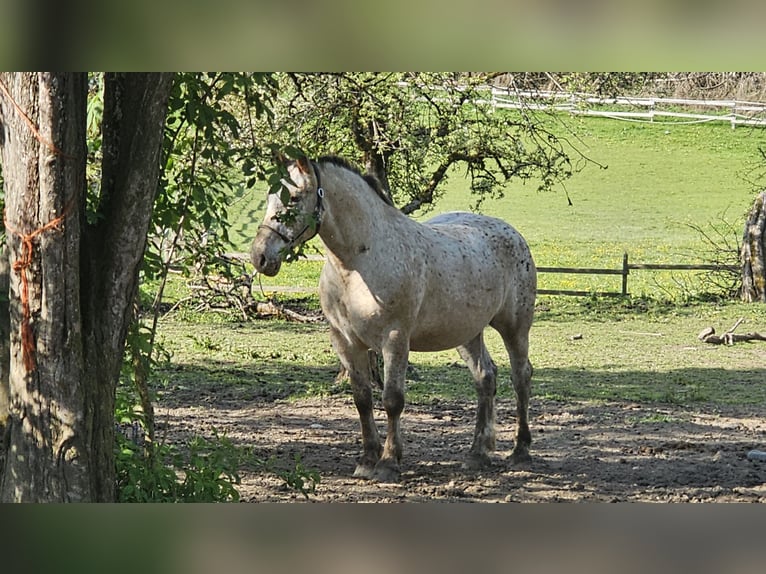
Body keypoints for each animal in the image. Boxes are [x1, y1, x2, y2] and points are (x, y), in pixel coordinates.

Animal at [251, 155, 537, 482]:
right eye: (269, 197)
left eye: (295, 198)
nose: (260, 256)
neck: (358, 263)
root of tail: (511, 232)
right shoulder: (345, 341)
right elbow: (362, 399)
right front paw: (366, 459)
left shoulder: (395, 338)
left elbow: (392, 399)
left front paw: (388, 462)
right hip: (466, 333)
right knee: (485, 378)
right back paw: (477, 454)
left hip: (515, 328)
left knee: (521, 377)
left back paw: (520, 451)